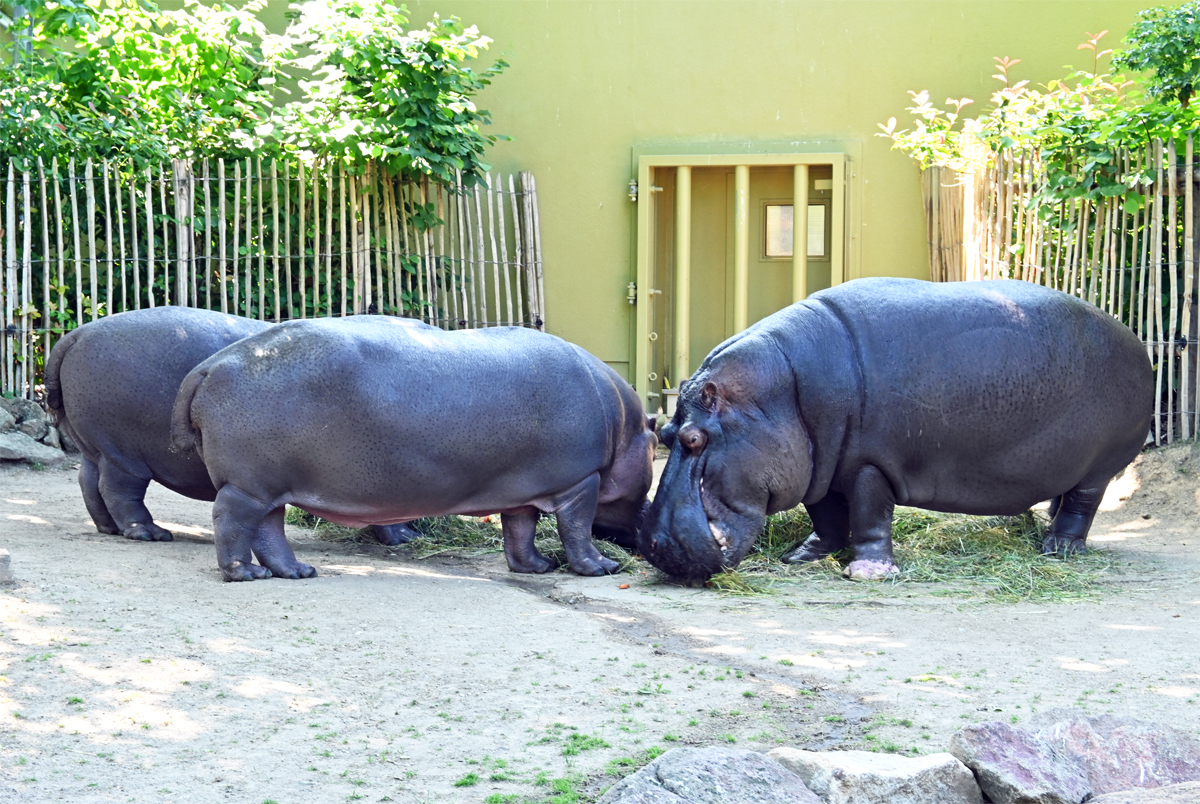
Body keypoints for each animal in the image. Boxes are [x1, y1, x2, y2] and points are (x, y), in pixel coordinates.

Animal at [44, 309, 422, 547]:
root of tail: (76, 334)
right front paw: (407, 539)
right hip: (122, 455)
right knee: (119, 491)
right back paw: (151, 534)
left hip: (92, 445)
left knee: (89, 482)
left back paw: (108, 528)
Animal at [169, 319, 657, 583]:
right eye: (657, 448)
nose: (644, 536)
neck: (624, 426)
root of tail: (209, 365)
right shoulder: (581, 482)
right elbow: (577, 529)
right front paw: (602, 568)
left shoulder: (522, 489)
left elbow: (520, 530)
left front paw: (538, 568)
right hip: (248, 485)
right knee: (231, 521)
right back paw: (245, 575)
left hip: (270, 486)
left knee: (269, 530)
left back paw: (299, 572)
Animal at [638, 280, 1152, 583]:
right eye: (665, 433)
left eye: (695, 439)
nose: (654, 545)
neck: (781, 393)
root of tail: (1133, 337)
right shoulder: (822, 465)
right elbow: (827, 516)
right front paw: (802, 556)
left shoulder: (868, 464)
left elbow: (869, 515)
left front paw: (866, 572)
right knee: (1063, 497)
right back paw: (1045, 535)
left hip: (1101, 464)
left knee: (1082, 504)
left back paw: (1058, 549)